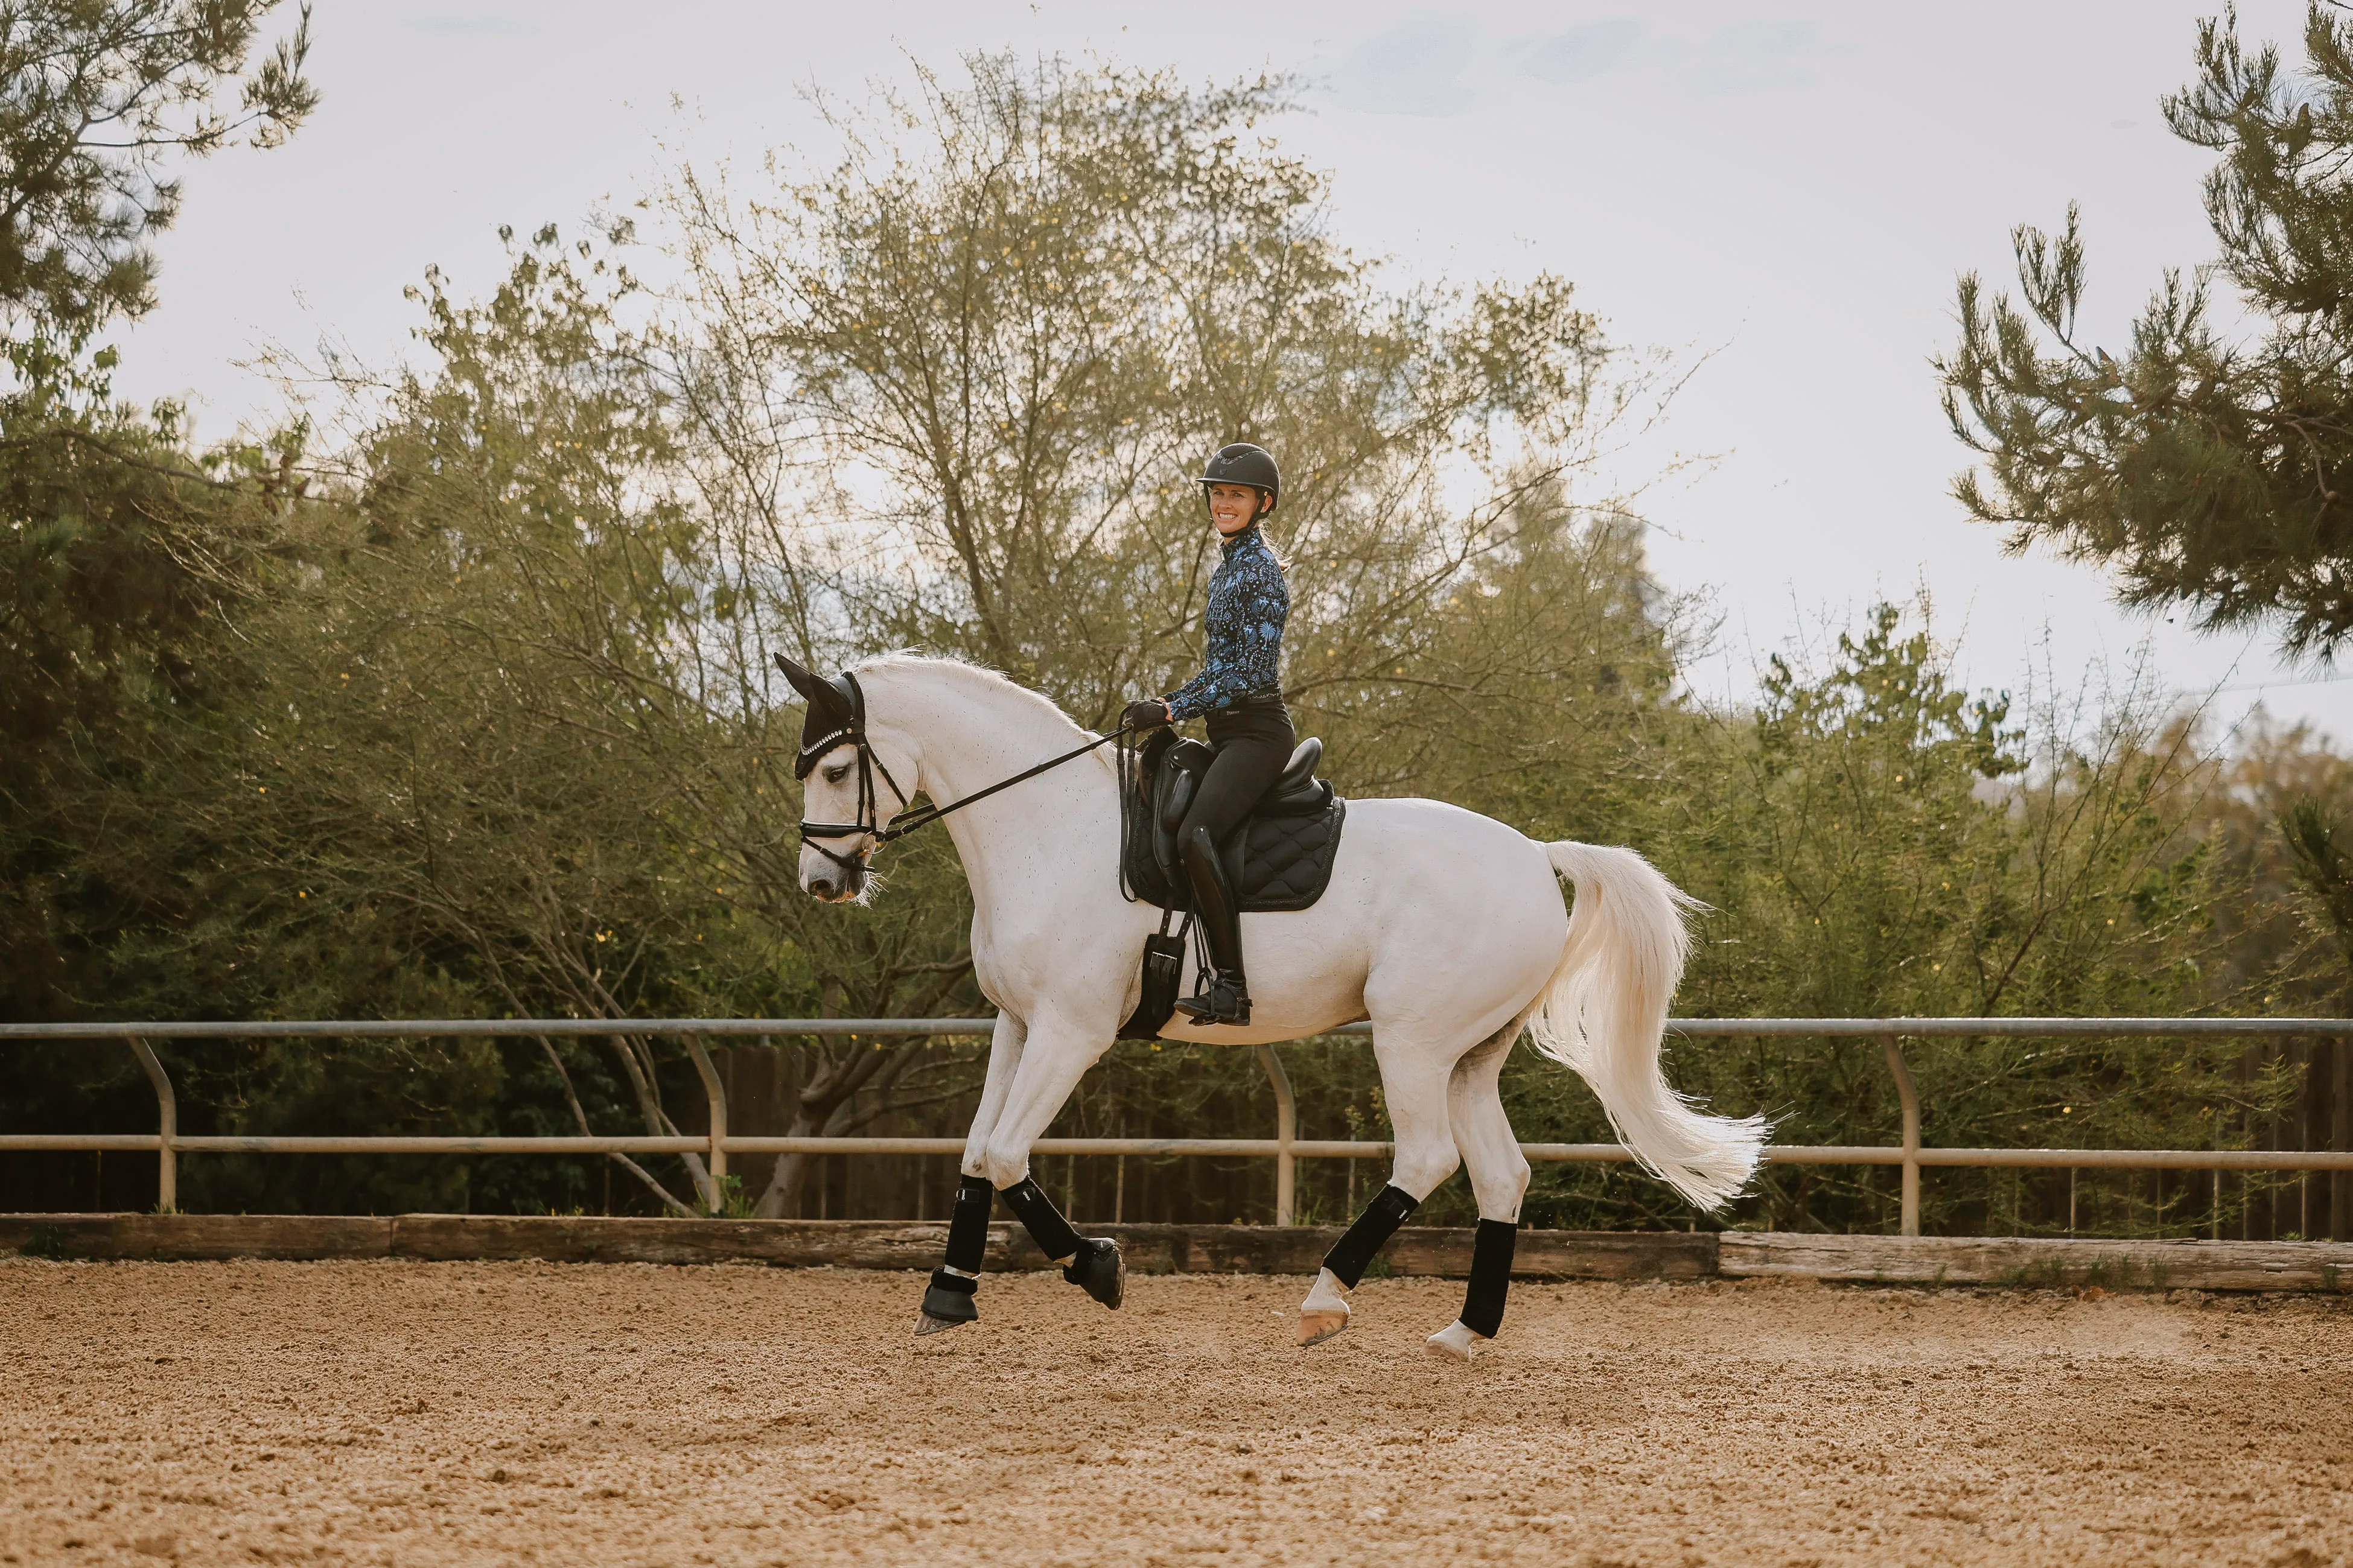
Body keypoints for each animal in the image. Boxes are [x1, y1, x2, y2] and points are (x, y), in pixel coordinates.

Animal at [777, 652, 1765, 1360]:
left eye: (836, 766)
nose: (821, 882)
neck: (1049, 830)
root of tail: (1534, 854)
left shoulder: (1070, 1029)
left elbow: (1004, 1150)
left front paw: (1096, 1268)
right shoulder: (1016, 1024)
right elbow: (975, 1153)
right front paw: (949, 1291)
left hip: (1411, 1040)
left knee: (1426, 1158)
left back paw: (1324, 1299)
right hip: (1467, 1057)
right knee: (1501, 1175)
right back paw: (1462, 1331)